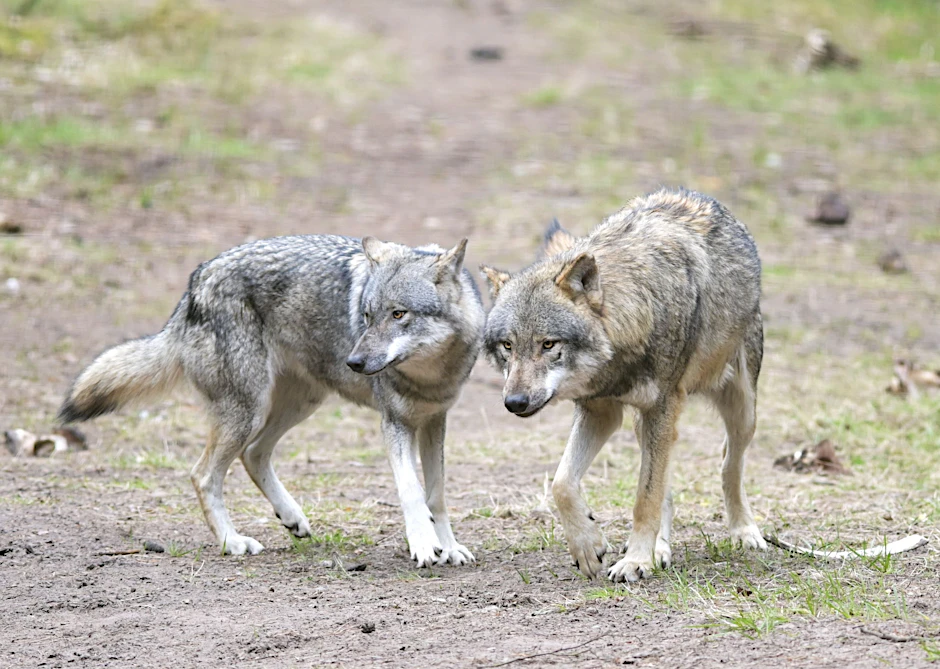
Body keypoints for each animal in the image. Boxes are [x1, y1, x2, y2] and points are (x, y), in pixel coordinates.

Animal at [58, 234, 484, 566]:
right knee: (203, 474)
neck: (430, 375)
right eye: (365, 316)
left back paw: (290, 517)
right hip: (249, 411)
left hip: (299, 404)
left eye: (398, 314)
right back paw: (232, 542)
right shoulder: (394, 423)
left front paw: (448, 547)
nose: (354, 362)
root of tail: (196, 282)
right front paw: (424, 546)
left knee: (254, 454)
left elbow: (436, 495)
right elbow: (411, 491)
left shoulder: (434, 421)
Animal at [481, 188, 767, 582]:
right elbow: (562, 483)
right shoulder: (601, 411)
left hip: (741, 410)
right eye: (508, 346)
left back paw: (743, 531)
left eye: (548, 344)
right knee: (667, 486)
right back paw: (661, 549)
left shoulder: (661, 406)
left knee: (728, 463)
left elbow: (645, 498)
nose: (515, 402)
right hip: (644, 423)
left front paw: (635, 560)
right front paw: (589, 547)